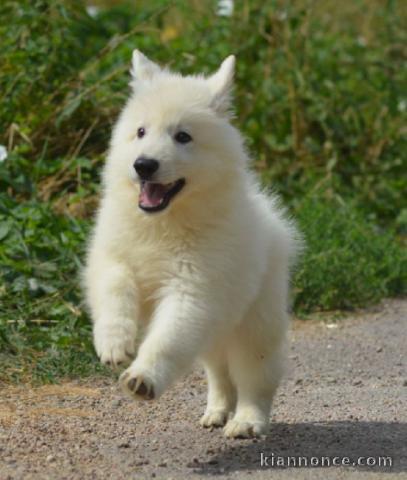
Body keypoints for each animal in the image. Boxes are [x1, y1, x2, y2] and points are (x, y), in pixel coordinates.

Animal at [83, 50, 300, 436]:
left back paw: (246, 421)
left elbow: (166, 338)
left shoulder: (194, 288)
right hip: (217, 332)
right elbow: (114, 288)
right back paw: (216, 412)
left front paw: (142, 378)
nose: (144, 165)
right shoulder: (112, 255)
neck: (163, 224)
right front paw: (114, 344)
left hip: (254, 320)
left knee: (255, 376)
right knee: (219, 373)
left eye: (183, 136)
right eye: (140, 131)